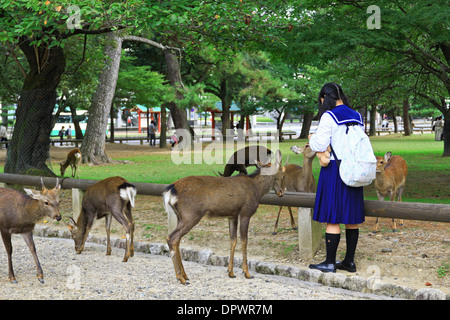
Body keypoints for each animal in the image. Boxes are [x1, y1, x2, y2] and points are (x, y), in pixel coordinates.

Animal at [164, 149, 284, 284]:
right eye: (282, 174)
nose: (281, 192)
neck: (258, 191)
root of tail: (169, 191)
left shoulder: (232, 215)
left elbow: (233, 240)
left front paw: (230, 272)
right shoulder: (245, 212)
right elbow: (244, 241)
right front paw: (247, 273)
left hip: (180, 217)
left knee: (176, 240)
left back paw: (184, 275)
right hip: (191, 215)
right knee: (172, 238)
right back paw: (181, 278)